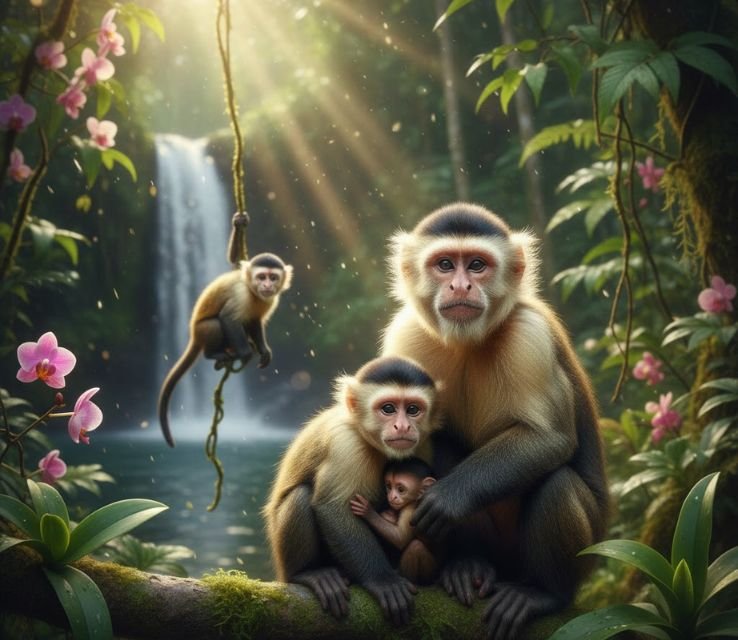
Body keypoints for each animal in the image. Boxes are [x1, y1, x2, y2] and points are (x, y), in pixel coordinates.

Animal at [157, 250, 293, 447]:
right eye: (261, 277)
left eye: (273, 277)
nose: (267, 285)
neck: (251, 289)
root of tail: (193, 335)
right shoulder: (241, 294)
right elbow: (228, 319)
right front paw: (246, 354)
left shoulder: (269, 299)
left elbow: (254, 321)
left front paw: (263, 350)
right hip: (202, 331)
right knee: (215, 324)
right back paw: (215, 354)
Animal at [263, 356, 443, 626]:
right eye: (388, 409)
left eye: (413, 409)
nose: (402, 426)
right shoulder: (345, 443)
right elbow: (332, 507)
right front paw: (383, 580)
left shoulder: (424, 443)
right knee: (301, 497)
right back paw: (309, 573)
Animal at [380, 202, 609, 640]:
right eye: (445, 265)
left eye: (477, 265)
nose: (461, 287)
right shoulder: (407, 335)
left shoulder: (529, 335)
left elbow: (549, 438)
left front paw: (448, 499)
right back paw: (470, 563)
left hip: (588, 554)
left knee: (556, 482)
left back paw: (543, 593)